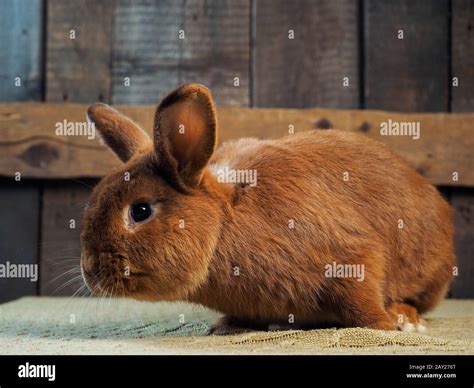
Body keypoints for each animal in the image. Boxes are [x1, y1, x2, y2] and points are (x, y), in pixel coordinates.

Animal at [81, 83, 456, 332]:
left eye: (140, 211)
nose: (89, 269)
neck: (225, 222)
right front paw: (226, 325)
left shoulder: (352, 258)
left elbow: (362, 301)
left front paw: (387, 324)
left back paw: (406, 317)